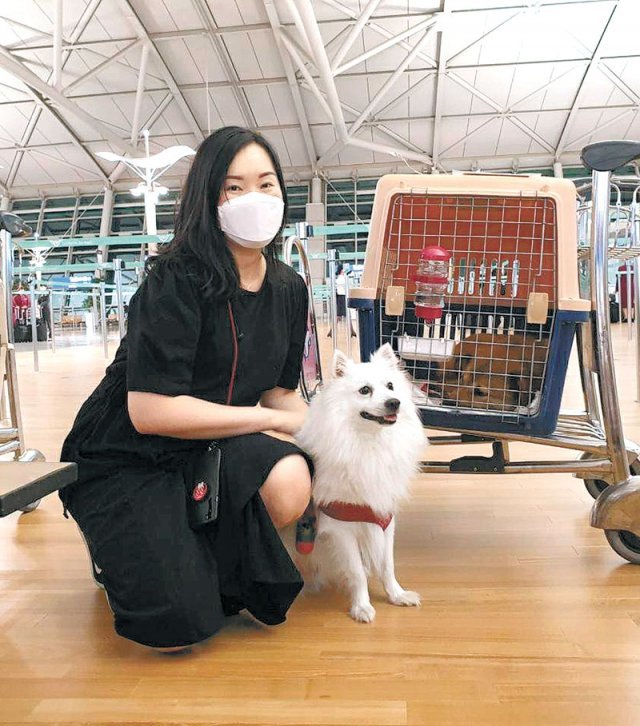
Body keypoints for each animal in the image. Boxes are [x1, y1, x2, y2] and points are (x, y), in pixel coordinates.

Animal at [296, 344, 424, 624]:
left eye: (390, 386)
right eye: (365, 390)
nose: (394, 402)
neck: (369, 444)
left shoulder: (384, 519)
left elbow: (387, 565)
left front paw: (397, 595)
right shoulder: (341, 528)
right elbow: (356, 572)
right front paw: (362, 606)